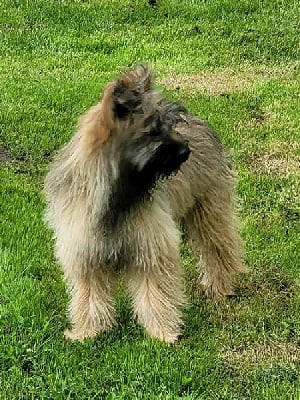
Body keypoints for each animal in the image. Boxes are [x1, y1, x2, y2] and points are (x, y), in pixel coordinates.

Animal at [45, 64, 246, 342]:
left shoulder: (151, 246)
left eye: (165, 127)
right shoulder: (85, 250)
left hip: (209, 209)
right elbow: (89, 295)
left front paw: (163, 333)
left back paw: (220, 286)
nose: (185, 151)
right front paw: (87, 332)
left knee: (218, 247)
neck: (114, 195)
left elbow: (155, 293)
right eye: (152, 131)